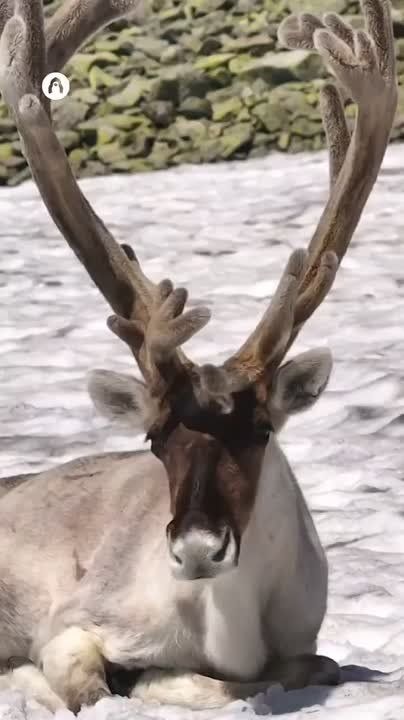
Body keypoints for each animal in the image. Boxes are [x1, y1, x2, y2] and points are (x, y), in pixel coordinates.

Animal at [0, 0, 397, 714]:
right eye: (155, 437)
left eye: (262, 429)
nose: (196, 550)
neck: (226, 631)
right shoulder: (71, 621)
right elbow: (95, 682)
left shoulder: (303, 637)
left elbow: (310, 666)